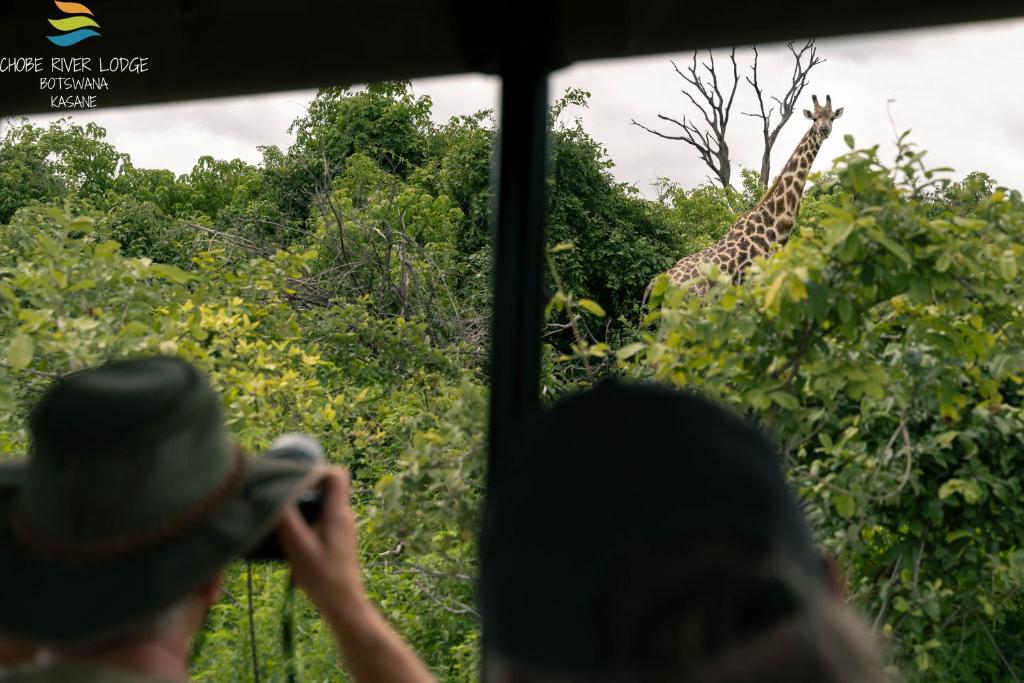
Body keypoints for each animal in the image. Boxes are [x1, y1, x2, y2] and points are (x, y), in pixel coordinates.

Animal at [647, 94, 844, 301]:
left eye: (832, 117)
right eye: (814, 118)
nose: (823, 130)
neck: (774, 223)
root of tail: (656, 283)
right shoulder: (758, 283)